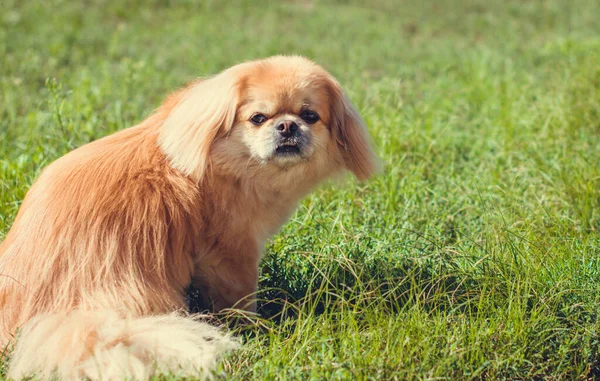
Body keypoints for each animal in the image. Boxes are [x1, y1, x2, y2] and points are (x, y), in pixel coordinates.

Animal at [0, 55, 378, 378]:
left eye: (310, 116)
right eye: (258, 118)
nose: (287, 126)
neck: (229, 166)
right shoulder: (232, 251)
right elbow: (240, 298)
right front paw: (253, 328)